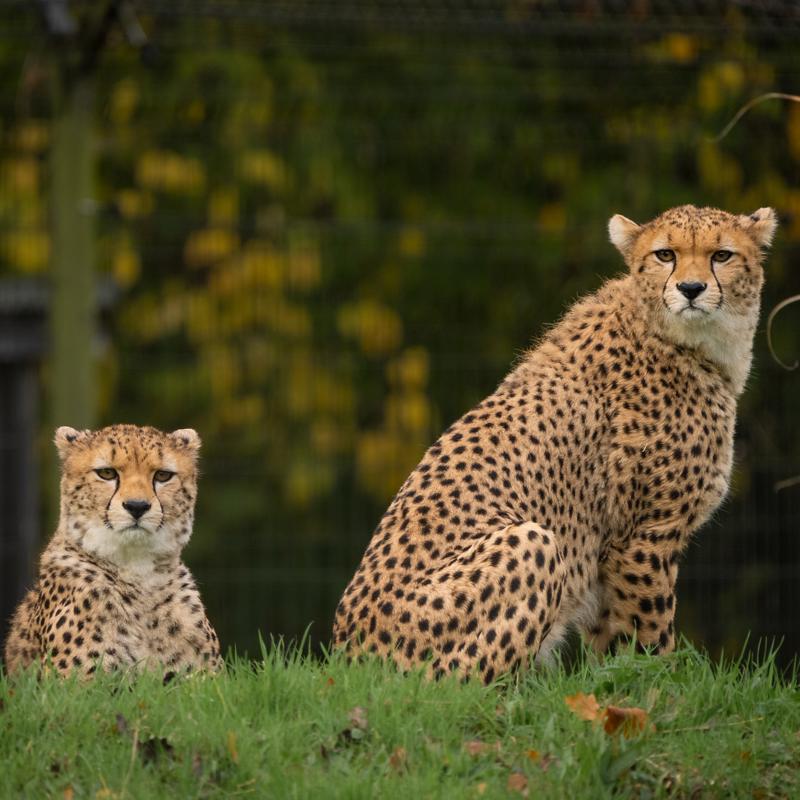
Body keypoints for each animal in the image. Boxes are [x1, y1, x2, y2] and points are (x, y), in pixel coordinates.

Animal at [333, 204, 777, 683]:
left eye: (721, 255)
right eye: (665, 254)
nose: (691, 289)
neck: (683, 339)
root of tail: (347, 658)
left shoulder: (608, 555)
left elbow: (611, 644)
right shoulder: (643, 537)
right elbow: (651, 636)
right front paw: (663, 684)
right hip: (531, 542)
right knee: (458, 685)